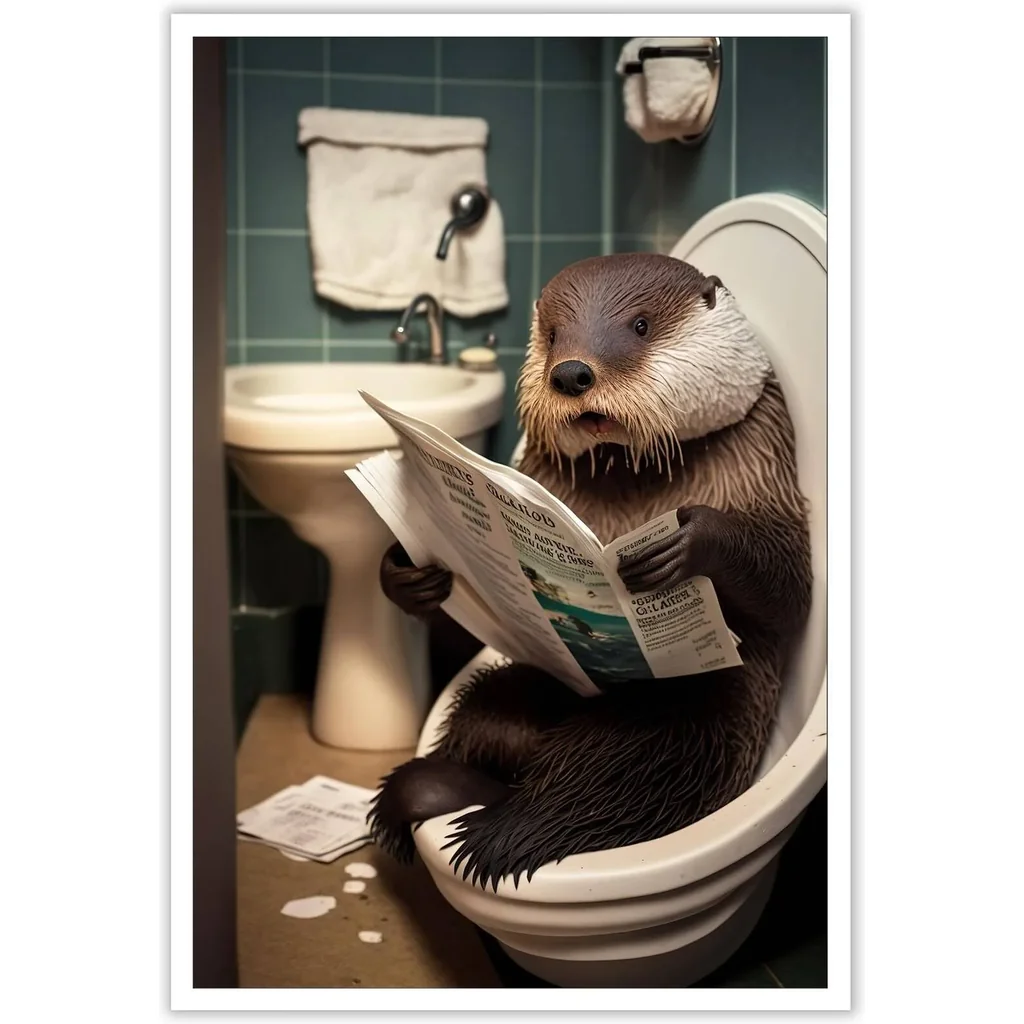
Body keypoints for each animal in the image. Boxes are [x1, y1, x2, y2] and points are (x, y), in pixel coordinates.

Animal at [367, 253, 813, 892]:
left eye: (641, 325)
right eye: (554, 334)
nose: (572, 373)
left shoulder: (763, 450)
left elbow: (792, 588)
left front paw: (689, 540)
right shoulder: (535, 471)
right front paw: (405, 571)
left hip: (682, 724)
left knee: (606, 778)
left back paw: (494, 833)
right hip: (529, 688)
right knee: (487, 718)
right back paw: (434, 790)